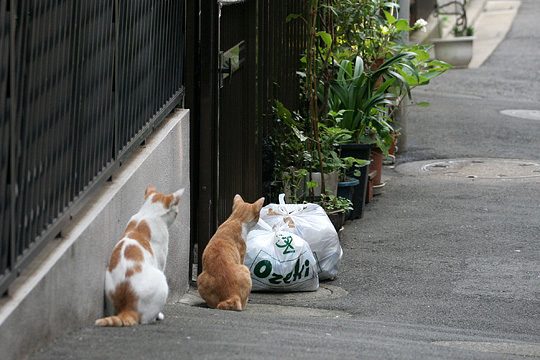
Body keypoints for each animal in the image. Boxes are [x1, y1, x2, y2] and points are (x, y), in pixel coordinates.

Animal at [94, 186, 185, 326]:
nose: (177, 214)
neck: (148, 213)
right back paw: (156, 317)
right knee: (145, 319)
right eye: (176, 212)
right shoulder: (160, 262)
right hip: (162, 280)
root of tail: (127, 308)